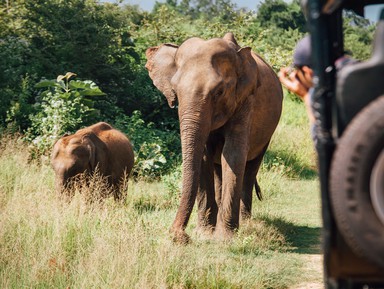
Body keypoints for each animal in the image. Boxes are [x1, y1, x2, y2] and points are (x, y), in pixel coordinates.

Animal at [146, 32, 284, 242]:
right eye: (175, 92)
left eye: (219, 92)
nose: (178, 236)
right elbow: (204, 157)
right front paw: (204, 234)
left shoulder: (246, 100)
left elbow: (233, 154)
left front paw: (224, 239)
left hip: (267, 133)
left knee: (251, 167)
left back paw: (246, 223)